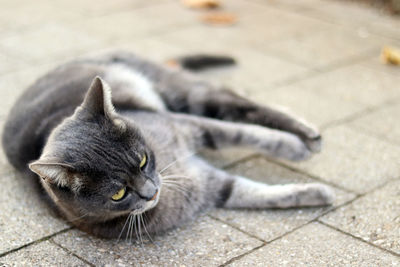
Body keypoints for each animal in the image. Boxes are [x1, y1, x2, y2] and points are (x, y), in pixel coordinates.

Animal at [2, 51, 334, 240]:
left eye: (142, 161)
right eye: (118, 193)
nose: (152, 193)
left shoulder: (190, 126)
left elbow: (247, 135)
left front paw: (293, 148)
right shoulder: (212, 187)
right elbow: (258, 194)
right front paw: (315, 194)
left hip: (184, 94)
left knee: (239, 104)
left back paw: (306, 134)